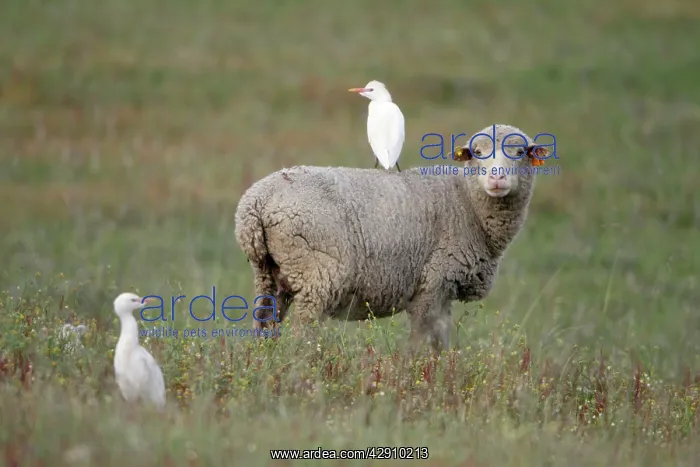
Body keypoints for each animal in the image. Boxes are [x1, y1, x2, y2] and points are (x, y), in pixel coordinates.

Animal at [234, 124, 551, 351]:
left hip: (268, 272)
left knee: (264, 323)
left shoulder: (443, 291)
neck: (466, 201)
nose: (497, 179)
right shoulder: (433, 282)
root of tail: (256, 201)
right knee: (303, 330)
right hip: (317, 272)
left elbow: (441, 341)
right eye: (477, 153)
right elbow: (425, 342)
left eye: (521, 153)